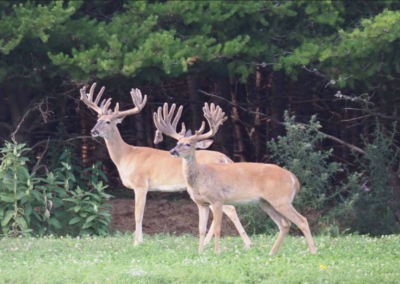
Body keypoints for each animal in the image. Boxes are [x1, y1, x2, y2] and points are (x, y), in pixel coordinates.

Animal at [79, 83, 252, 247]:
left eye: (108, 121)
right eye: (97, 119)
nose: (93, 131)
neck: (126, 156)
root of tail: (224, 158)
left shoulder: (140, 184)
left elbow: (138, 215)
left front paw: (136, 243)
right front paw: (140, 241)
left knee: (230, 209)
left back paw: (247, 242)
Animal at [152, 103, 318, 254]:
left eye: (188, 144)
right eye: (177, 142)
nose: (172, 151)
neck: (201, 177)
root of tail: (294, 178)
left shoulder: (217, 199)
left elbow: (218, 228)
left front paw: (216, 252)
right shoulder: (201, 203)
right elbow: (201, 229)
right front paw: (200, 253)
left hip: (281, 199)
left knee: (302, 220)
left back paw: (313, 251)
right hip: (266, 202)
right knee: (285, 224)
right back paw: (272, 253)